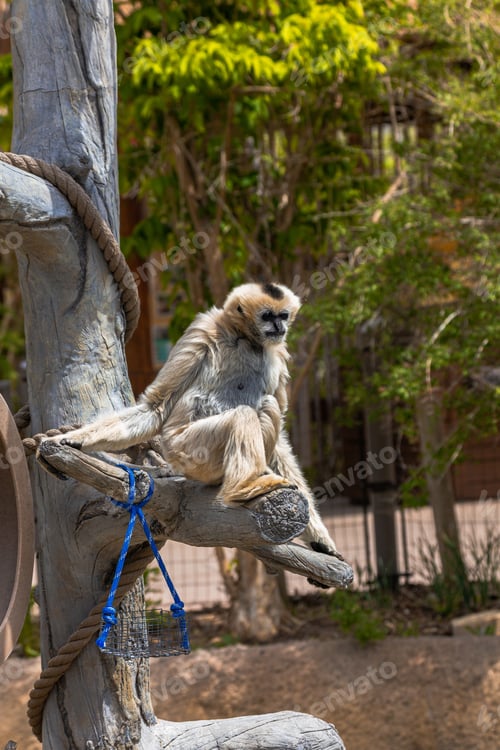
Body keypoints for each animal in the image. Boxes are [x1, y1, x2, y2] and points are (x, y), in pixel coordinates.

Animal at [48, 282, 339, 558]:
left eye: (283, 315)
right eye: (267, 316)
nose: (279, 326)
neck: (247, 340)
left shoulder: (277, 352)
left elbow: (280, 441)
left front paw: (320, 538)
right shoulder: (203, 329)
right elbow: (156, 406)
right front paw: (72, 438)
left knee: (267, 405)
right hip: (188, 450)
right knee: (243, 415)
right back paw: (241, 487)